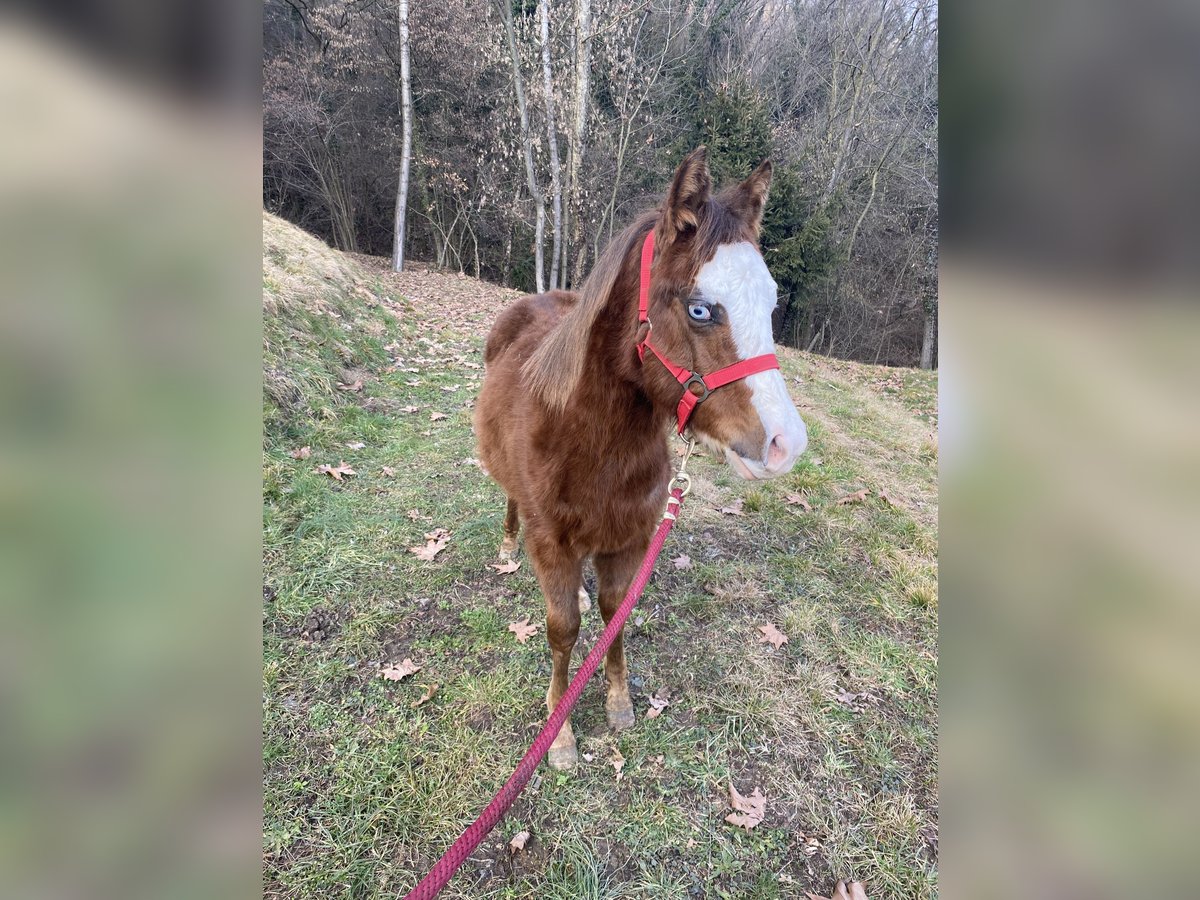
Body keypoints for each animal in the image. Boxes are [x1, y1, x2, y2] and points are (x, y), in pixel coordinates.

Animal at [473, 147, 807, 770]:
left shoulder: (629, 539)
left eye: (771, 304)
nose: (786, 445)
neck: (592, 444)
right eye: (699, 310)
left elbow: (613, 613)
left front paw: (618, 703)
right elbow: (563, 629)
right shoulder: (551, 544)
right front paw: (560, 734)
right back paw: (506, 545)